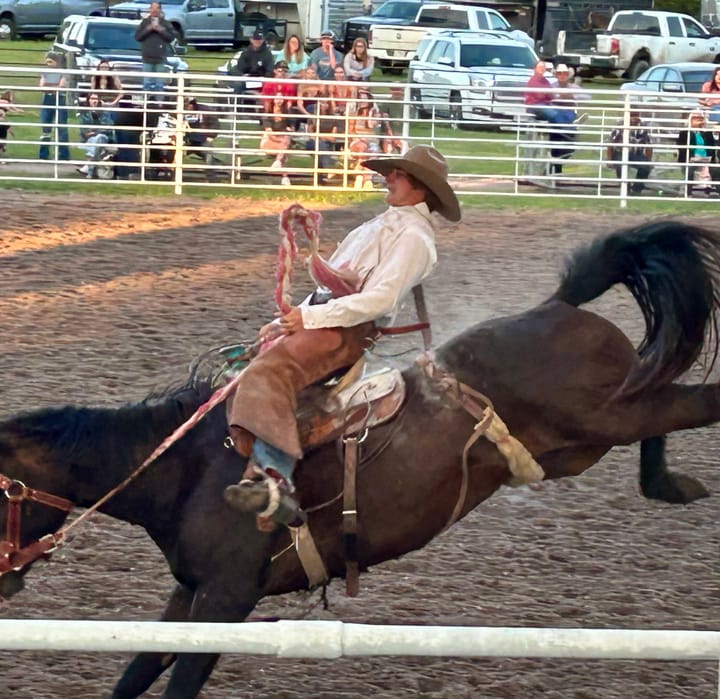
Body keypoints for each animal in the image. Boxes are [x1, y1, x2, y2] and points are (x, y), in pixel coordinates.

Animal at [1, 221, 720, 696]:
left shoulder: (228, 597)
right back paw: (672, 483)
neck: (187, 470)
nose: (3, 579)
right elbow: (137, 671)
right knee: (660, 385)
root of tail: (555, 306)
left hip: (606, 416)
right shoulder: (190, 590)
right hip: (586, 438)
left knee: (691, 396)